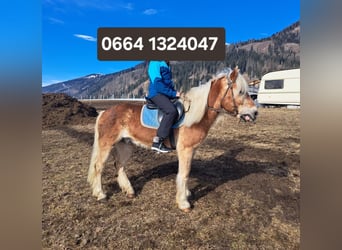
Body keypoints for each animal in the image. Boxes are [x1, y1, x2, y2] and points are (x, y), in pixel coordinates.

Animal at [87, 66, 258, 211]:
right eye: (241, 92)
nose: (255, 112)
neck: (195, 115)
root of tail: (104, 112)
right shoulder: (185, 150)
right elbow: (184, 174)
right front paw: (183, 203)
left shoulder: (192, 150)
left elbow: (186, 172)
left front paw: (186, 194)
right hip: (106, 144)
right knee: (99, 167)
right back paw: (100, 194)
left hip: (125, 145)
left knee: (120, 166)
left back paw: (129, 191)